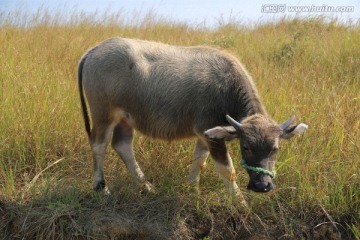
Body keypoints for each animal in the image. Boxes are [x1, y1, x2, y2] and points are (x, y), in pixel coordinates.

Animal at [76, 37, 306, 195]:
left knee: (123, 145)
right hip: (103, 114)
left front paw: (192, 188)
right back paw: (101, 187)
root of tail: (95, 50)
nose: (262, 185)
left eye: (275, 149)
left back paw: (147, 186)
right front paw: (240, 203)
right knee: (99, 145)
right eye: (246, 147)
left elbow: (199, 161)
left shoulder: (206, 134)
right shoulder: (212, 135)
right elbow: (227, 170)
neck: (227, 88)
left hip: (125, 119)